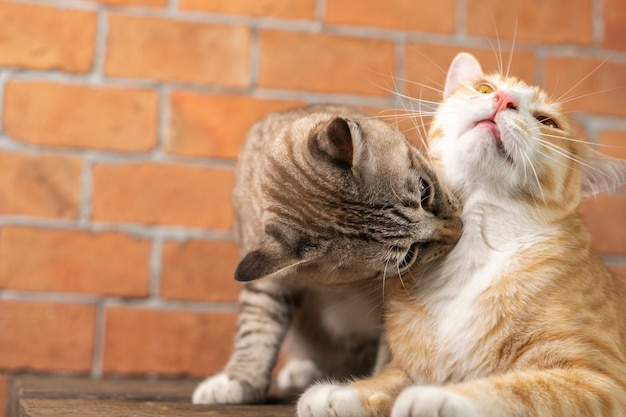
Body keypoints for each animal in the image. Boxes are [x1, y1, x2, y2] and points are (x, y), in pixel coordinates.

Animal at [190, 103, 458, 404]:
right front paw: (240, 379)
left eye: (425, 191)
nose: (458, 229)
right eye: (408, 256)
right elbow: (257, 329)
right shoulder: (267, 279)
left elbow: (391, 348)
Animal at [294, 52, 624, 416]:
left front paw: (438, 398)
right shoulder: (409, 365)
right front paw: (343, 393)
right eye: (485, 88)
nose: (504, 99)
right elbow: (391, 377)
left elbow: (523, 389)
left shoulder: (600, 380)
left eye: (547, 121)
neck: (474, 243)